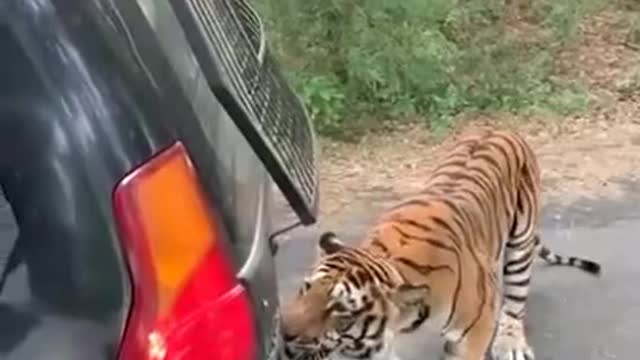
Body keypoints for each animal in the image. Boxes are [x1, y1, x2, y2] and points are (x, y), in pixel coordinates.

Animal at [278, 129, 604, 360]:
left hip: (520, 246)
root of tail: (502, 127)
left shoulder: (475, 331)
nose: (283, 334)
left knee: (515, 303)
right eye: (305, 289)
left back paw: (510, 344)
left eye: (340, 312)